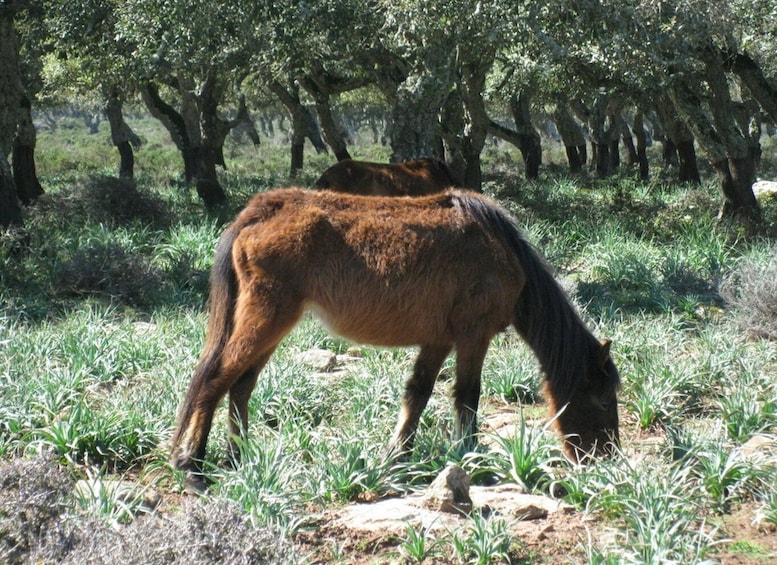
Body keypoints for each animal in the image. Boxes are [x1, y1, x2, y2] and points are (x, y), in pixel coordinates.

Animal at [170, 187, 620, 486]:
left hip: (271, 325)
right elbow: (467, 397)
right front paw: (470, 456)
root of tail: (261, 210)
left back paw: (240, 458)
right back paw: (192, 468)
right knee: (214, 382)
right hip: (266, 319)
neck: (504, 252)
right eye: (601, 398)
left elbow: (417, 395)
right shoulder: (473, 335)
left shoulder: (439, 340)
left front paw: (397, 457)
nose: (606, 460)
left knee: (241, 386)